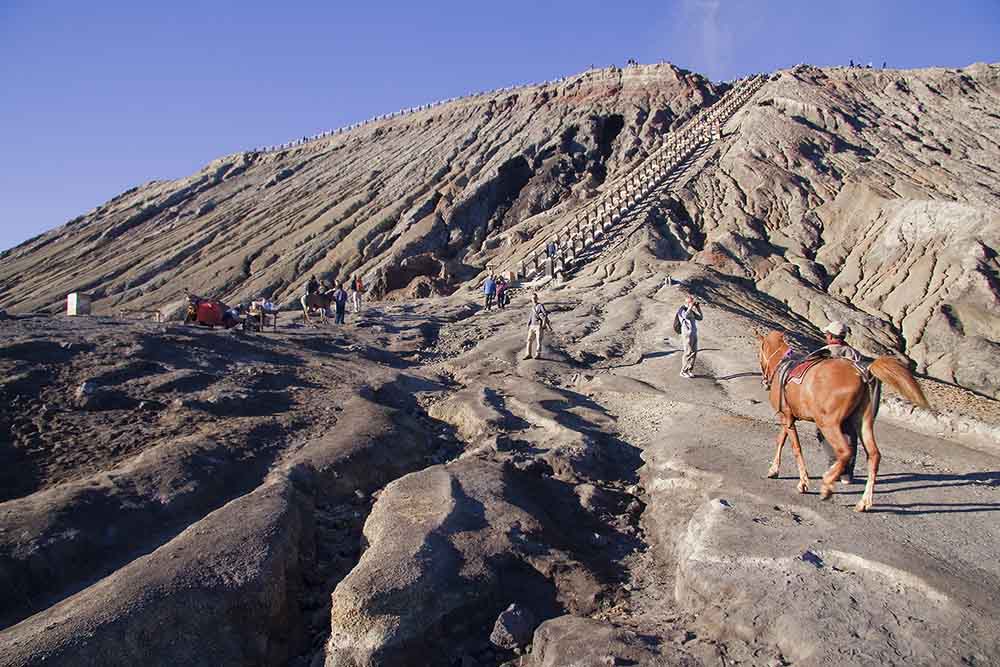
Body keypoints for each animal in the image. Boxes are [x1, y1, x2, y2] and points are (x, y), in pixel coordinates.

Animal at [756, 332, 928, 516]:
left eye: (759, 354)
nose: (764, 381)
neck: (782, 365)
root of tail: (862, 372)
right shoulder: (787, 417)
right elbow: (781, 440)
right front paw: (774, 470)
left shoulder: (787, 417)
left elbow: (795, 447)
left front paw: (802, 482)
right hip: (863, 422)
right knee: (874, 456)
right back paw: (863, 502)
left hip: (828, 424)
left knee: (845, 451)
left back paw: (827, 485)